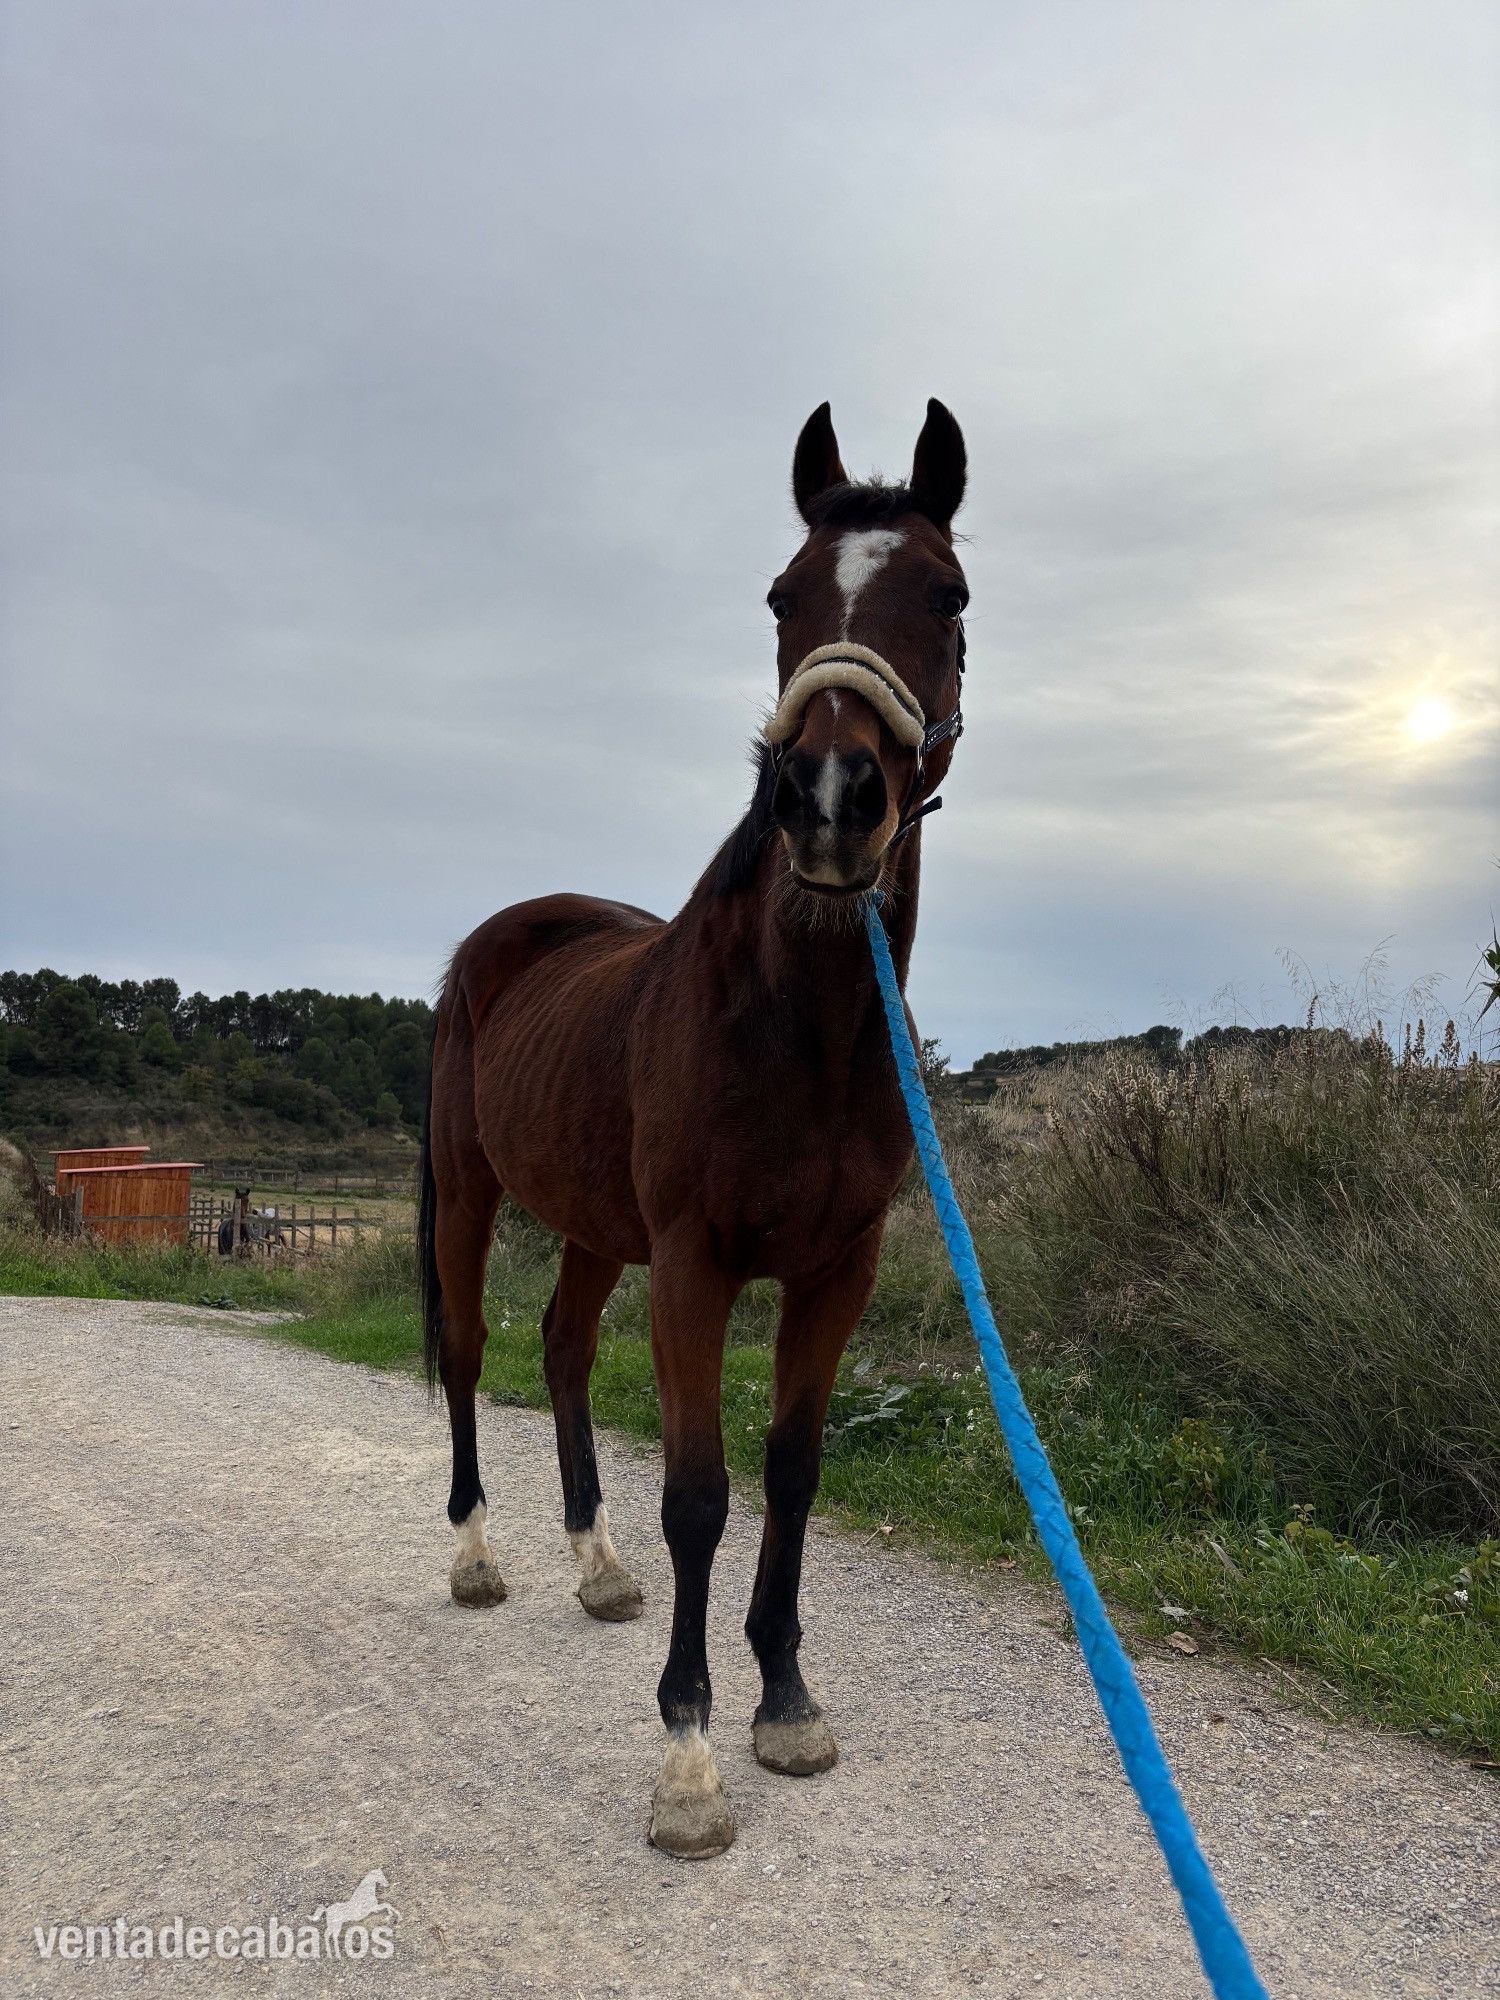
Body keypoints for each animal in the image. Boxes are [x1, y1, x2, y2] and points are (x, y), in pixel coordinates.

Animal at [419, 398, 970, 1859]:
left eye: (947, 594)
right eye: (782, 596)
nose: (830, 800)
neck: (801, 1027)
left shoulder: (837, 1271)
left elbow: (791, 1471)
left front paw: (784, 1700)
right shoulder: (696, 1266)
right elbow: (700, 1494)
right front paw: (687, 1752)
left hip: (596, 1224)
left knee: (558, 1346)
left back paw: (595, 1566)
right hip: (474, 1194)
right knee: (468, 1349)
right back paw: (478, 1554)